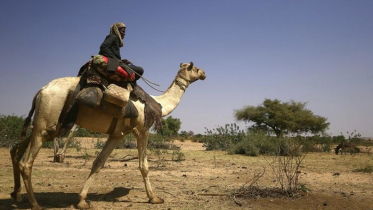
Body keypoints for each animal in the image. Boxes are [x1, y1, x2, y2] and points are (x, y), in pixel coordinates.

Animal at [9, 62, 206, 210]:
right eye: (195, 68)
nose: (204, 73)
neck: (158, 104)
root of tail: (41, 91)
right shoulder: (141, 130)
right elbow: (144, 166)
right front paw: (154, 198)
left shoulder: (117, 134)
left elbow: (98, 162)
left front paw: (82, 200)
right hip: (49, 119)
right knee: (26, 162)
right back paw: (35, 204)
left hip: (46, 124)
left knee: (16, 148)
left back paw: (16, 195)